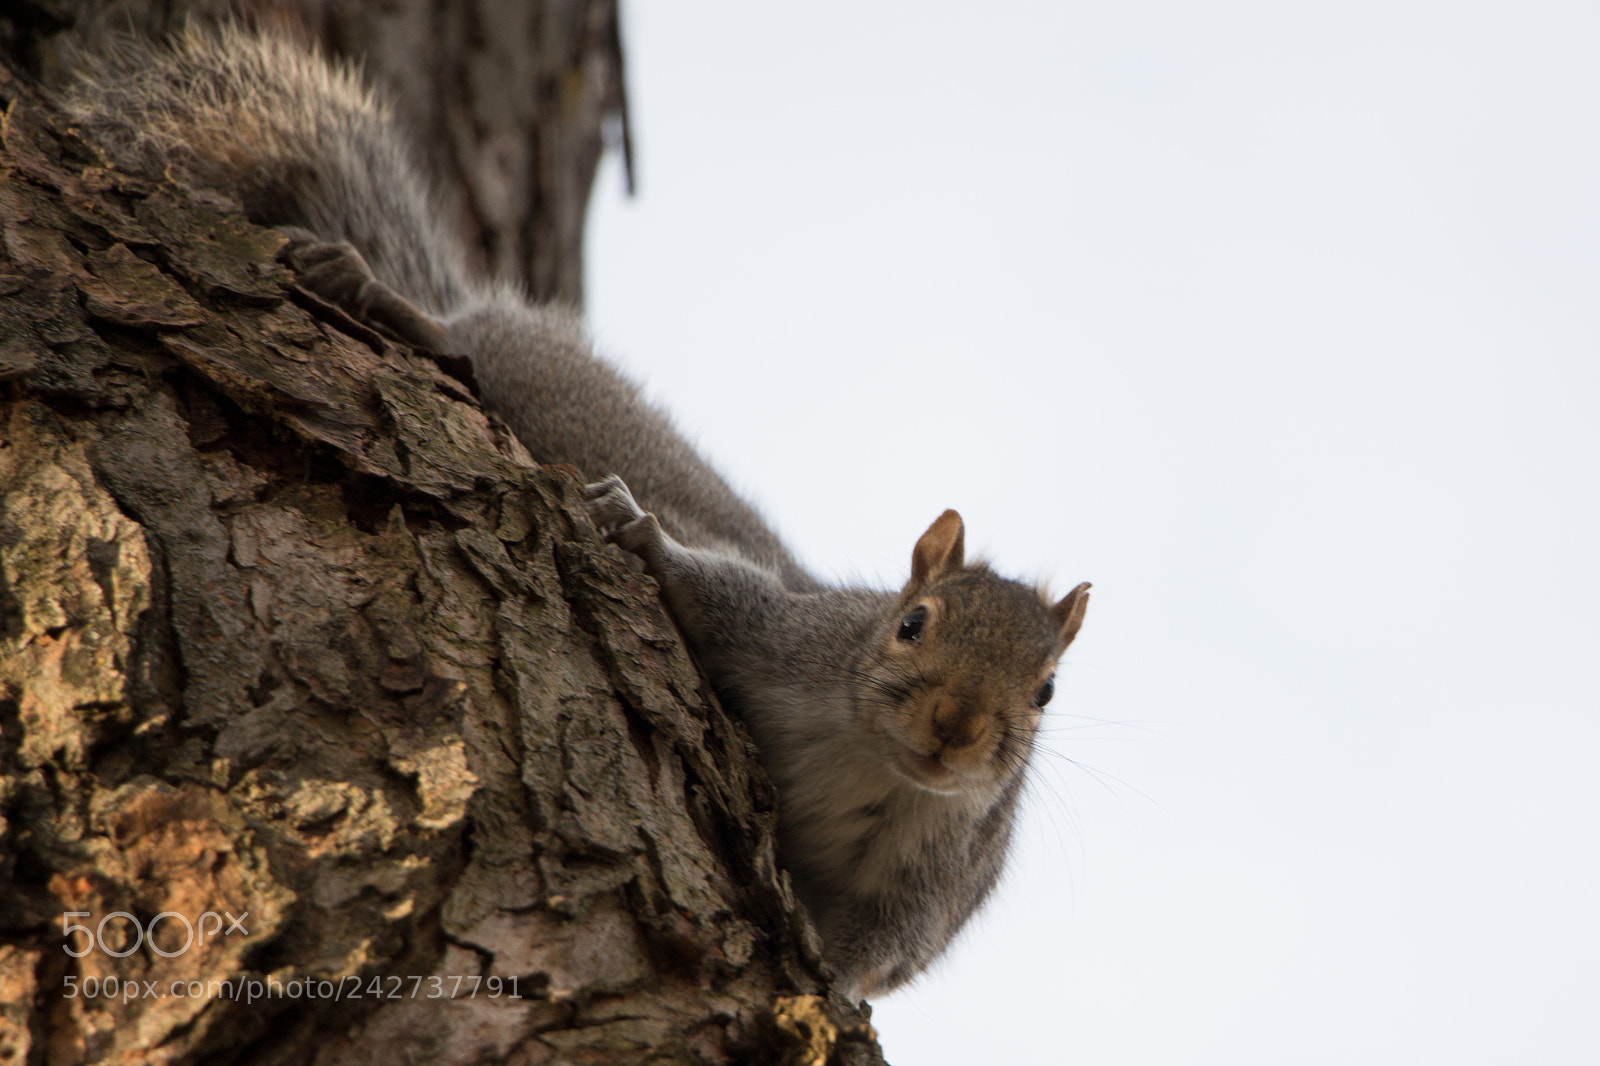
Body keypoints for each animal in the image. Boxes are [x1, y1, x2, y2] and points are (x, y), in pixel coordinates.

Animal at [60, 25, 1091, 999]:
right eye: (910, 623)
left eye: (1046, 692)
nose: (956, 726)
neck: (877, 764)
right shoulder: (794, 637)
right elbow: (719, 594)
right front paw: (645, 534)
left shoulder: (939, 886)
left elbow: (877, 958)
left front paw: (829, 984)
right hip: (522, 362)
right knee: (462, 335)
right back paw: (383, 298)